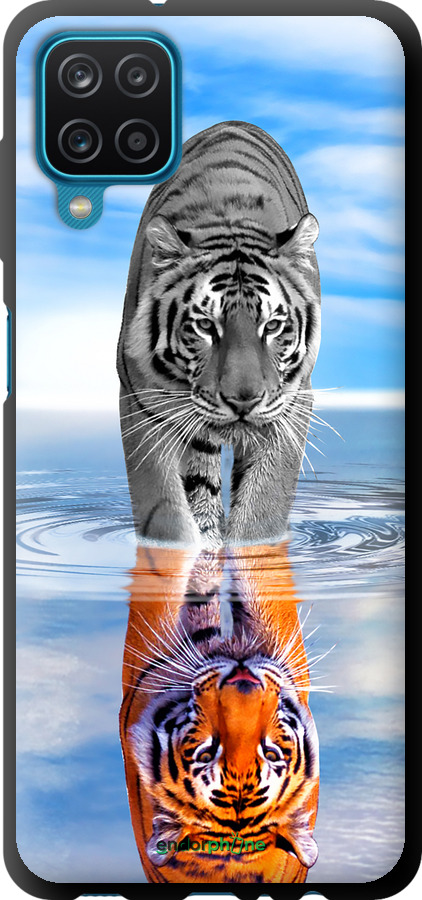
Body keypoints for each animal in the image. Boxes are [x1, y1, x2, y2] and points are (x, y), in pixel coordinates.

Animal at [117, 121, 321, 548]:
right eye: (206, 326)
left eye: (272, 326)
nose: (244, 401)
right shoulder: (140, 401)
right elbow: (165, 510)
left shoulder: (292, 404)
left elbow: (263, 508)